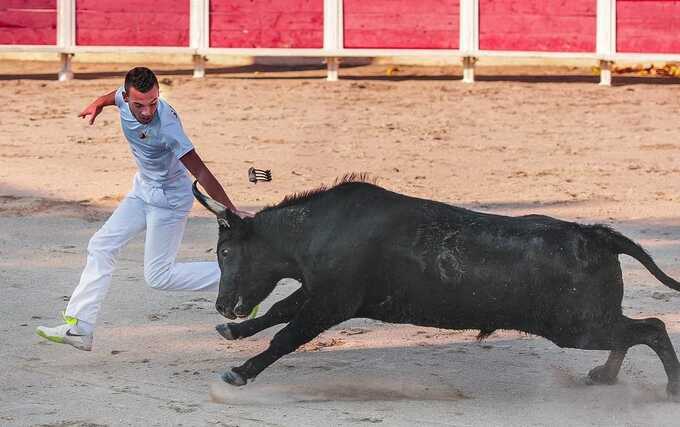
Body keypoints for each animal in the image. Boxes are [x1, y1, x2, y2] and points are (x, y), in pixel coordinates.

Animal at [191, 178, 680, 398]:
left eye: (226, 251)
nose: (223, 307)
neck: (318, 230)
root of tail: (595, 234)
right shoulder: (318, 291)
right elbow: (279, 312)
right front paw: (233, 335)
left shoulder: (332, 302)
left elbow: (286, 335)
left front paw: (239, 372)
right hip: (588, 322)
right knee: (635, 330)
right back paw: (605, 376)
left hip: (576, 327)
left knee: (651, 328)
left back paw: (670, 389)